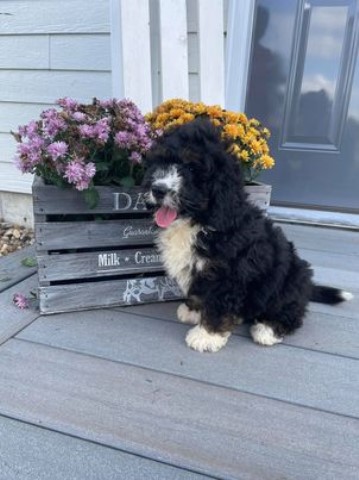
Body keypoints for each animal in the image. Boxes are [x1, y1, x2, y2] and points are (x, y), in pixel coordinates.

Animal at [143, 119, 354, 352]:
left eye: (191, 167)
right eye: (161, 163)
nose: (158, 189)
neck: (201, 221)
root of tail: (306, 287)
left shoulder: (229, 275)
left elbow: (217, 304)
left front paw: (207, 335)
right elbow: (199, 293)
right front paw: (193, 311)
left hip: (290, 280)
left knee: (291, 311)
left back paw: (268, 329)